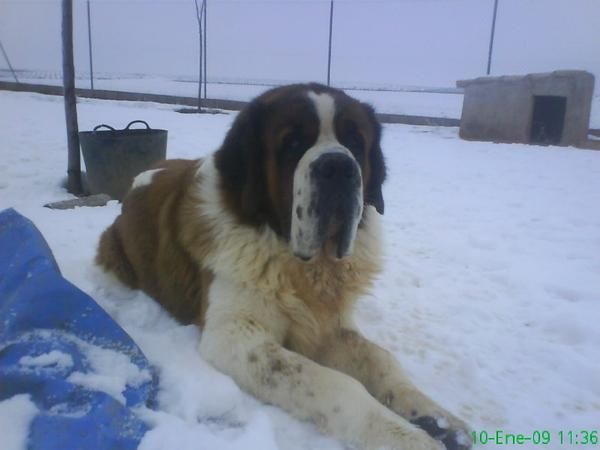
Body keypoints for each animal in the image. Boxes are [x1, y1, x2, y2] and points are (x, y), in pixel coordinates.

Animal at [98, 84, 472, 450]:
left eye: (355, 142)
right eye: (292, 143)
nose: (338, 167)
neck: (304, 267)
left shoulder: (328, 326)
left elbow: (381, 359)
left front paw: (436, 418)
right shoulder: (234, 336)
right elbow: (339, 385)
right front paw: (407, 437)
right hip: (113, 253)